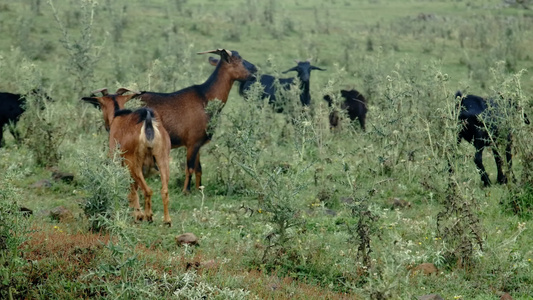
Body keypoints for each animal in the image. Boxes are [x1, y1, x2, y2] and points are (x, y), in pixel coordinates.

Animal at [81, 86, 172, 225]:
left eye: (101, 105)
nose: (107, 126)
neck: (118, 116)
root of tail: (148, 124)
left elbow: (132, 190)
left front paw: (137, 215)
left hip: (133, 164)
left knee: (147, 190)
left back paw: (148, 216)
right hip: (162, 159)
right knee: (164, 190)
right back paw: (167, 221)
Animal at [135, 47, 256, 192]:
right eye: (238, 60)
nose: (255, 70)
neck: (205, 98)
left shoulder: (198, 143)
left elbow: (199, 169)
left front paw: (199, 189)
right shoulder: (192, 142)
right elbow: (190, 168)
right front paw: (186, 191)